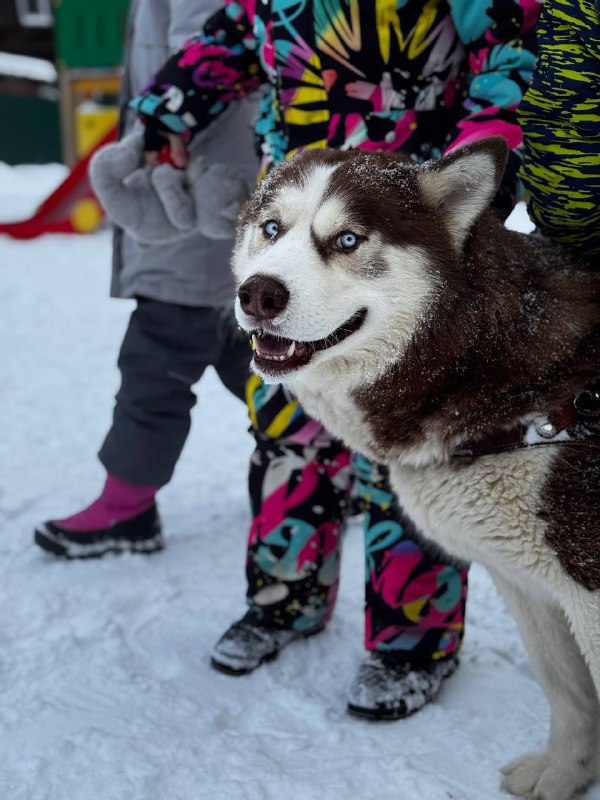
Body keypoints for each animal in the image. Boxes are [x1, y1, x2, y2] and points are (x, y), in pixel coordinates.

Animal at [231, 141, 600, 796]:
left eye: (348, 239)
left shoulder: (586, 587)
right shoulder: (529, 584)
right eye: (271, 228)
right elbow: (566, 688)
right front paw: (564, 772)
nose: (259, 293)